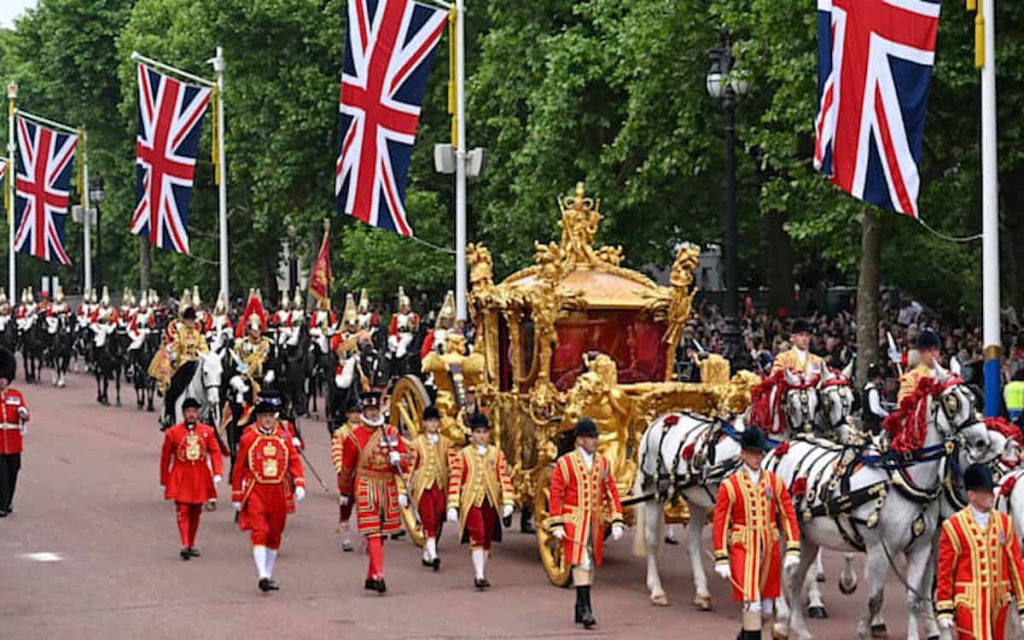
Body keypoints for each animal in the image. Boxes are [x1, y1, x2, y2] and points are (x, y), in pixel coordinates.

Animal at [774, 376, 991, 638]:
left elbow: (915, 598)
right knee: (783, 571)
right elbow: (876, 598)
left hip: (809, 539)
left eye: (973, 399)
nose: (982, 441)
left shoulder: (921, 548)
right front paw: (865, 627)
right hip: (787, 534)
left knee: (796, 578)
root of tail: (784, 447)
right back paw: (783, 618)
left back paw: (799, 628)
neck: (901, 480)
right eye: (952, 403)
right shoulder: (879, 549)